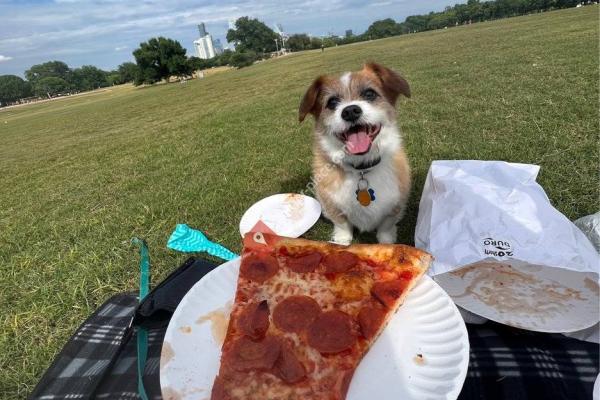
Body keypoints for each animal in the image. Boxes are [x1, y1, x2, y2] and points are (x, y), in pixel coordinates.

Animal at [299, 62, 411, 245]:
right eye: (332, 102)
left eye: (370, 94)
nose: (350, 111)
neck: (361, 170)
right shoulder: (331, 204)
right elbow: (342, 223)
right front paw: (341, 241)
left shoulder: (395, 205)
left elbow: (386, 226)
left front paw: (387, 241)